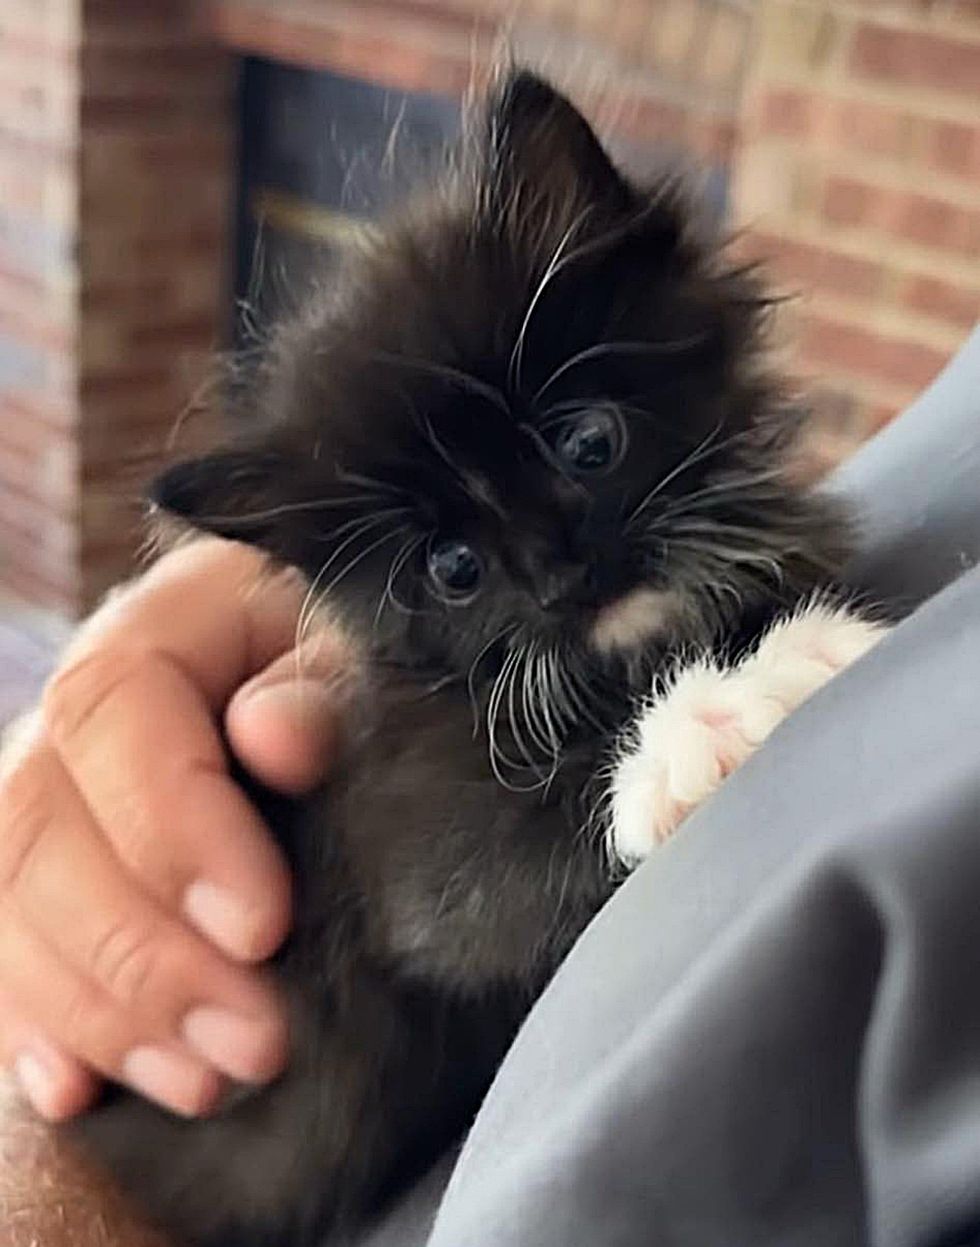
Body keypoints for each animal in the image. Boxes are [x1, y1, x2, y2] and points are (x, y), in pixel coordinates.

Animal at [68, 70, 847, 1247]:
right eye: (453, 568)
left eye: (587, 443)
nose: (562, 571)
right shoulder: (407, 847)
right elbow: (493, 869)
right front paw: (710, 723)